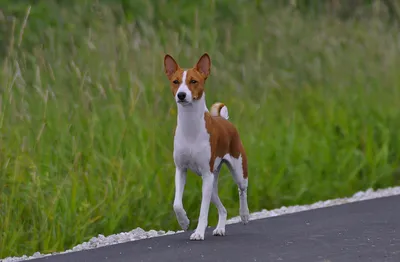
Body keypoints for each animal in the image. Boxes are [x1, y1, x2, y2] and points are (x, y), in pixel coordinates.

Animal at [163, 52, 250, 241]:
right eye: (175, 81)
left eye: (194, 81)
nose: (181, 95)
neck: (191, 128)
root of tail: (224, 120)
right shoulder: (181, 170)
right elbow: (177, 204)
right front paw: (184, 222)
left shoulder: (206, 174)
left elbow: (203, 210)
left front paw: (198, 232)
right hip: (212, 182)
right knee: (223, 209)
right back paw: (220, 228)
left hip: (237, 171)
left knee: (242, 191)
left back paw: (244, 215)